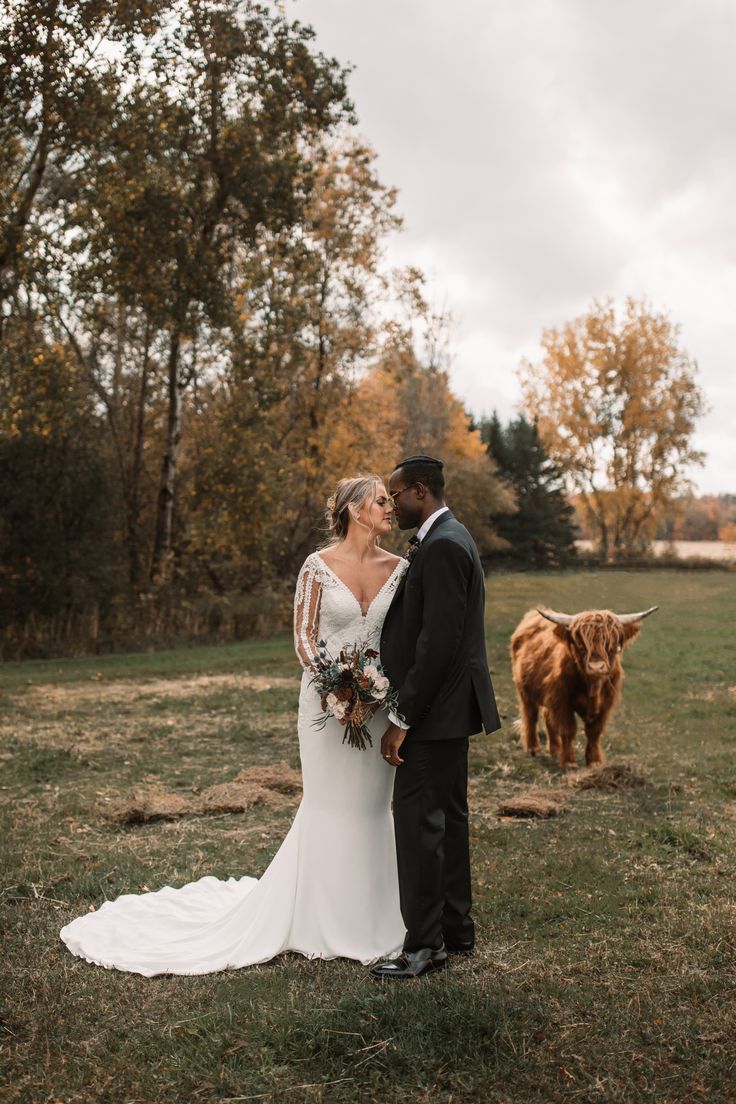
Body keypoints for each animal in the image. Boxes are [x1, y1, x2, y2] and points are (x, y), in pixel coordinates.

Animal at [509, 604, 657, 768]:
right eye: (580, 643)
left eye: (611, 644)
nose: (596, 667)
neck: (593, 687)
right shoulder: (562, 701)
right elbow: (568, 729)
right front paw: (569, 762)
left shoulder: (605, 704)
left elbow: (594, 733)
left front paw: (594, 761)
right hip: (525, 690)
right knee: (531, 716)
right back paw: (533, 748)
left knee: (547, 717)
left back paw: (555, 750)